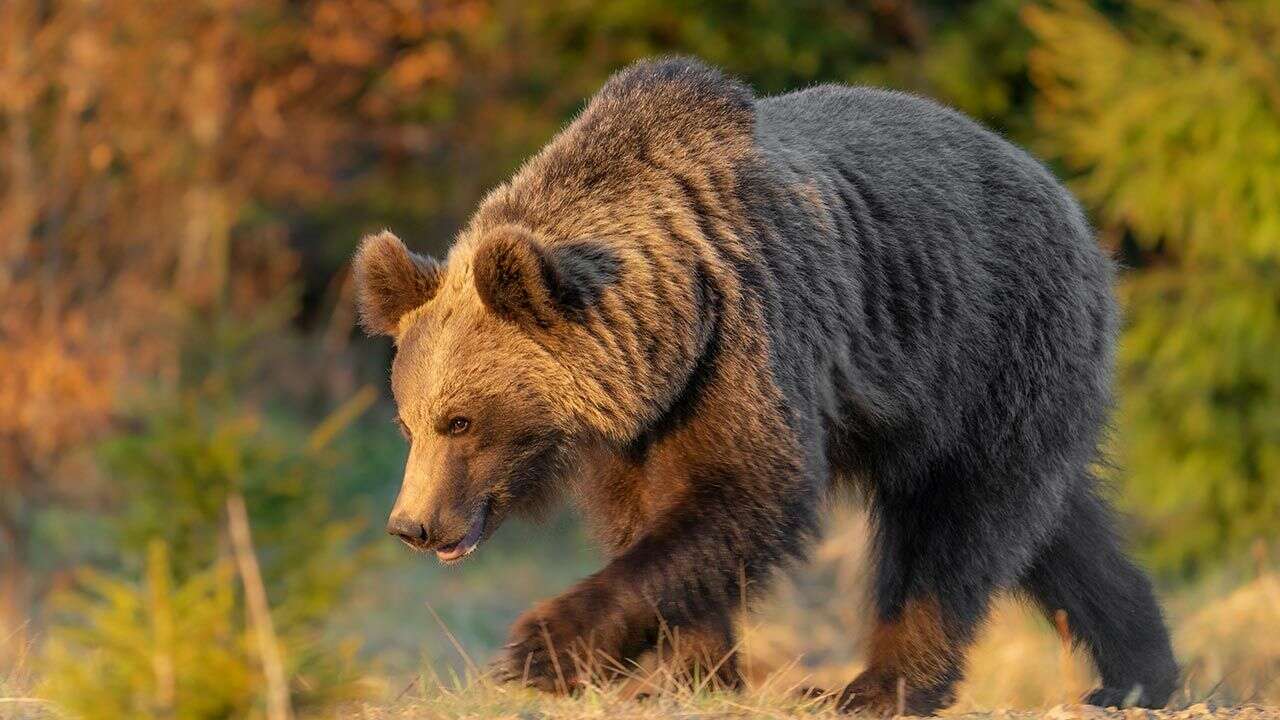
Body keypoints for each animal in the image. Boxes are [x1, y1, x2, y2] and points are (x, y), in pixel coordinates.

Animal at [353, 57, 1177, 712]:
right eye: (408, 422)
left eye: (460, 420)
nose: (413, 525)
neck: (671, 324)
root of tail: (1069, 201)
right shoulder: (643, 421)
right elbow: (651, 519)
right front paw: (691, 671)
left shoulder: (750, 336)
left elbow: (749, 491)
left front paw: (543, 647)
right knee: (1059, 527)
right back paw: (1139, 670)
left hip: (988, 348)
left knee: (951, 530)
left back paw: (879, 685)